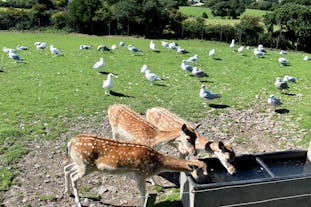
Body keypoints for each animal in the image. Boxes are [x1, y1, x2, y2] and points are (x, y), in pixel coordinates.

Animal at [64, 134, 208, 207]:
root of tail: (70, 142)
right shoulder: (139, 174)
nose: (205, 181)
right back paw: (78, 202)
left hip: (80, 163)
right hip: (85, 165)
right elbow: (143, 193)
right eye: (202, 171)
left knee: (67, 169)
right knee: (73, 176)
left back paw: (67, 192)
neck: (157, 163)